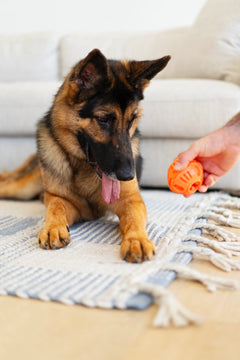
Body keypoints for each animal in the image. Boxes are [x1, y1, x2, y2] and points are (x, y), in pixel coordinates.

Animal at [0, 48, 170, 262]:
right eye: (103, 119)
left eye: (132, 120)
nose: (128, 175)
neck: (83, 168)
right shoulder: (64, 201)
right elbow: (55, 207)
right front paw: (53, 228)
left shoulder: (132, 200)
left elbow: (133, 219)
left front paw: (137, 239)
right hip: (21, 188)